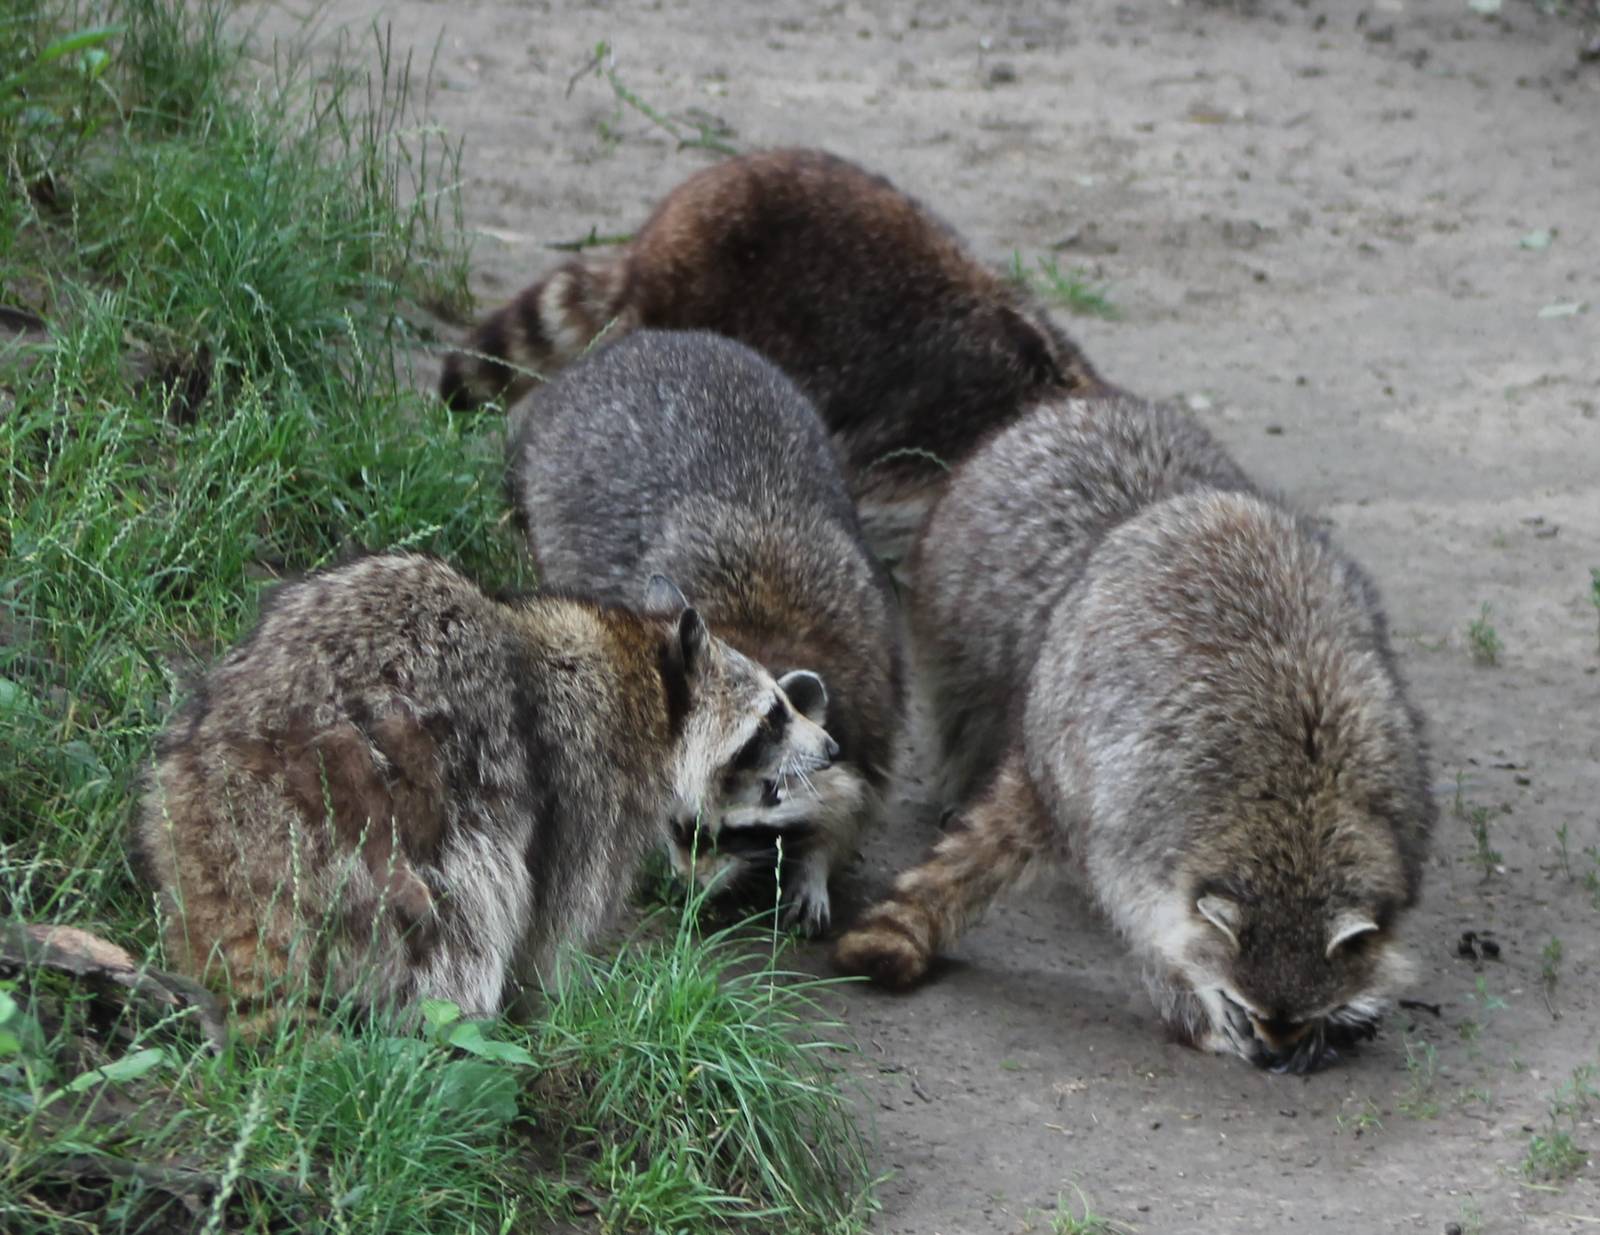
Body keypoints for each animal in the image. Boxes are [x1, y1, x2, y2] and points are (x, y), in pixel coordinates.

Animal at [134, 553, 836, 1032]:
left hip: (182, 770)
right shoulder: (589, 777)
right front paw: (551, 1004)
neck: (641, 665)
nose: (831, 748)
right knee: (468, 913)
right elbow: (553, 920)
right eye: (773, 716)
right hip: (374, 847)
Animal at [508, 330, 904, 935]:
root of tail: (650, 338)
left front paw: (815, 863)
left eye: (738, 832)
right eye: (681, 823)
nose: (686, 893)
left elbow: (861, 795)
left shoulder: (871, 679)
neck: (761, 635)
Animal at [835, 397, 1436, 1071]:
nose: (1273, 1056)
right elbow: (1151, 918)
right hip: (1082, 742)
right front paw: (1190, 998)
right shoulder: (1159, 817)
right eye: (1246, 1005)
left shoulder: (1399, 799)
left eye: (1303, 1014)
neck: (1299, 821)